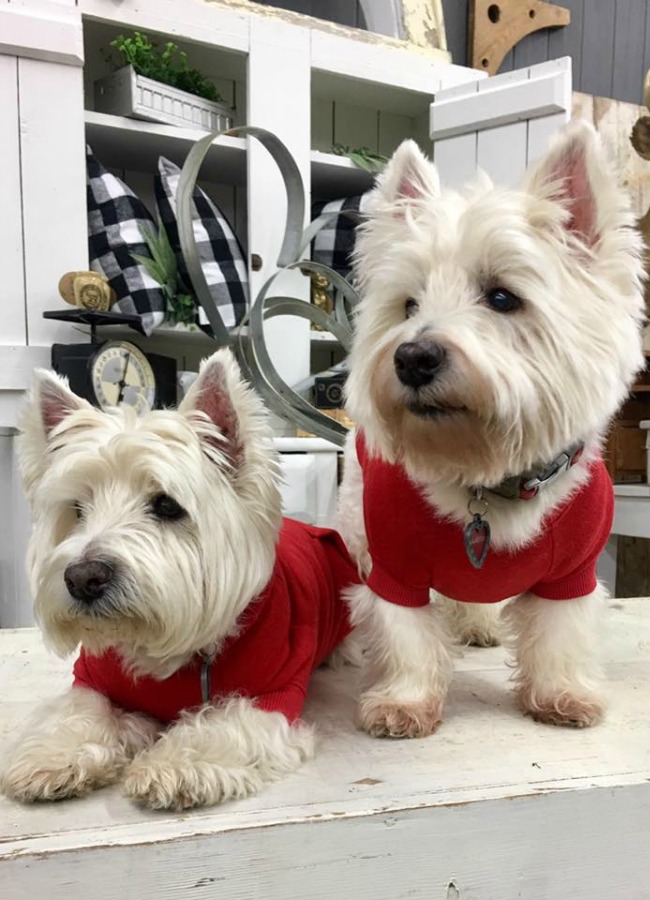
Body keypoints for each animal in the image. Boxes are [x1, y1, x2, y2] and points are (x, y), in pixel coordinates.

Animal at [1, 350, 360, 808]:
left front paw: (174, 765)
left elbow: (226, 721)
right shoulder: (93, 681)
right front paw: (52, 755)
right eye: (77, 509)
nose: (82, 578)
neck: (167, 650)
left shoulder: (271, 697)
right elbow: (76, 711)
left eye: (167, 506)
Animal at [340, 119, 644, 740]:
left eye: (502, 297)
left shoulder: (573, 570)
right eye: (408, 305)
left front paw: (562, 696)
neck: (486, 474)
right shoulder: (395, 564)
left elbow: (560, 631)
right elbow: (405, 632)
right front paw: (403, 703)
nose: (411, 358)